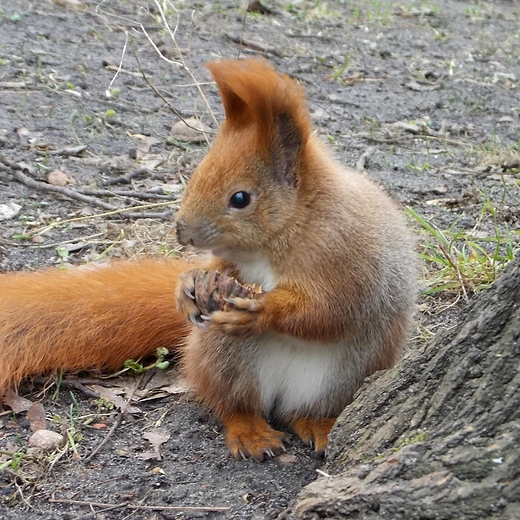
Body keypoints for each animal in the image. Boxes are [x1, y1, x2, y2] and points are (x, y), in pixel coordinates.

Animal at [0, 59, 414, 462]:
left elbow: (331, 310)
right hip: (222, 354)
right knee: (233, 405)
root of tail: (281, 398)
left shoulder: (347, 259)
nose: (182, 232)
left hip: (347, 372)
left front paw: (260, 311)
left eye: (241, 198)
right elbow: (219, 272)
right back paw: (251, 432)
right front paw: (188, 283)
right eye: (197, 173)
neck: (285, 231)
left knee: (304, 410)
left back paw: (316, 425)